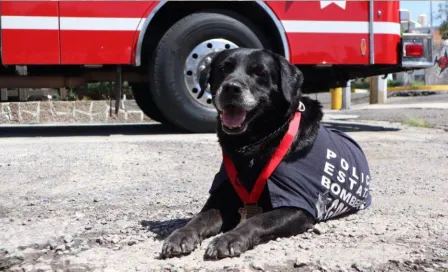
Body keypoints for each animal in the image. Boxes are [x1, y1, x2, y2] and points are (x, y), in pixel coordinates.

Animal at [159, 48, 372, 260]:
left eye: (259, 72)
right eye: (222, 68)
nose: (231, 88)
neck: (254, 145)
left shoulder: (296, 207)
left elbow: (258, 220)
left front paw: (229, 238)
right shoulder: (221, 199)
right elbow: (200, 218)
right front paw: (181, 235)